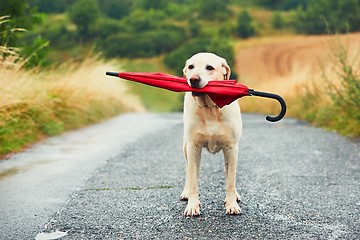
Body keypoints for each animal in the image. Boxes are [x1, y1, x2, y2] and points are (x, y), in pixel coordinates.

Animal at [180, 52, 242, 216]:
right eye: (191, 66)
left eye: (209, 67)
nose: (193, 79)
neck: (210, 108)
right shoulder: (193, 147)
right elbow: (193, 180)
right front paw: (192, 206)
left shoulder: (231, 147)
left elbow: (230, 180)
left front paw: (231, 204)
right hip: (186, 148)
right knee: (189, 171)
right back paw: (186, 192)